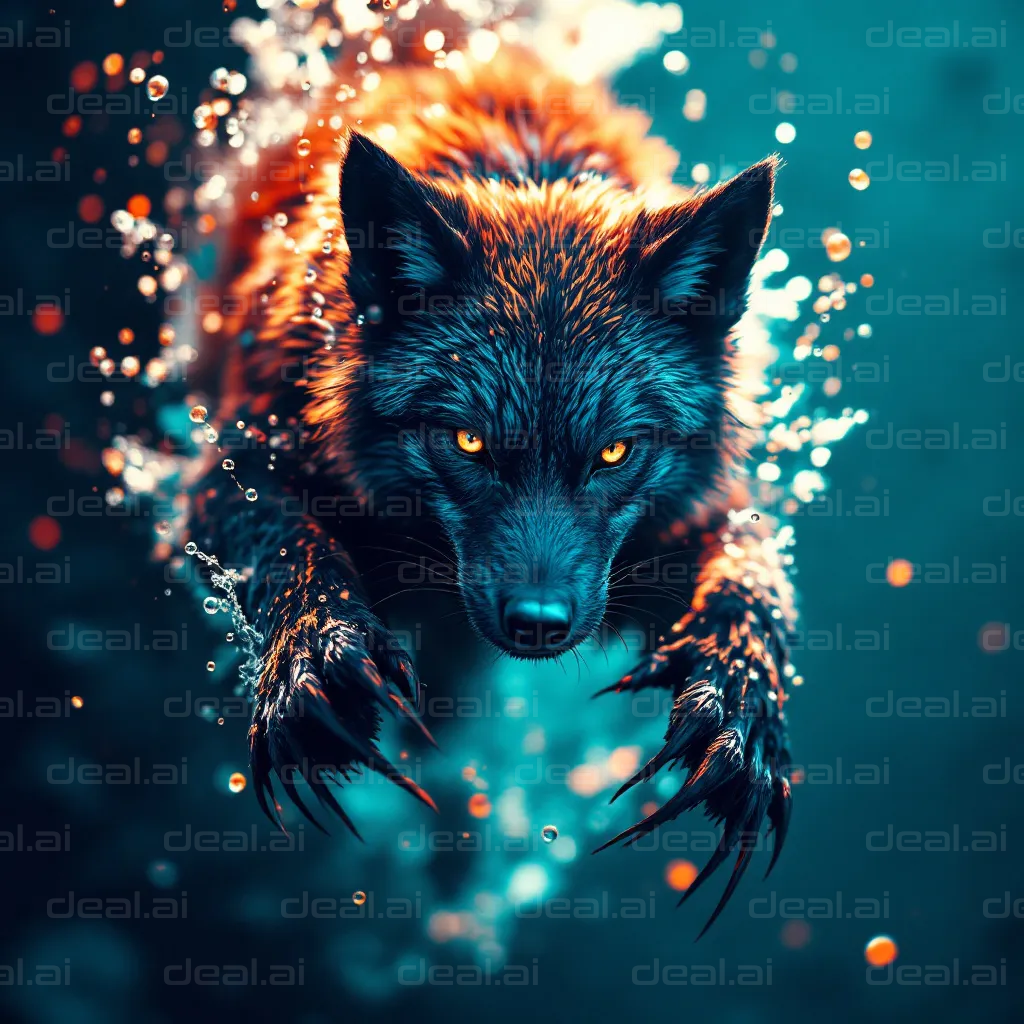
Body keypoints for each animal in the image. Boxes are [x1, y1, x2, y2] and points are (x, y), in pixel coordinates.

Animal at [187, 26, 795, 935]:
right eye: (468, 442)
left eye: (615, 453)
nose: (538, 625)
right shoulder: (226, 464)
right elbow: (288, 544)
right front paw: (312, 661)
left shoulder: (685, 527)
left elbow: (754, 582)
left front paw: (740, 712)